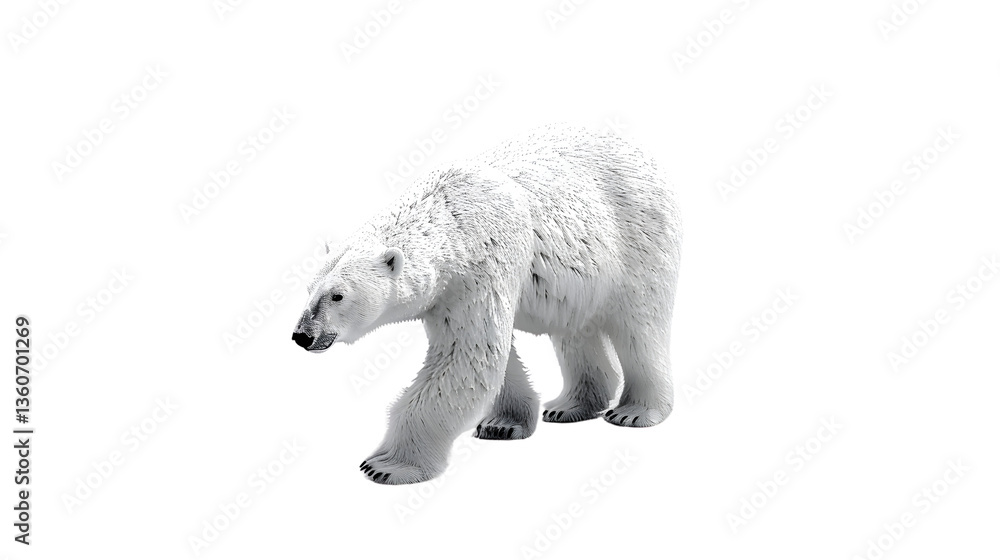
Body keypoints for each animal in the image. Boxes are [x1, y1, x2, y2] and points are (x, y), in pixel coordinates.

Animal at [292, 123, 682, 485]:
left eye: (338, 295)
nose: (302, 335)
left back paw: (634, 412)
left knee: (639, 326)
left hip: (636, 238)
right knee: (576, 329)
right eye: (308, 288)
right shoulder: (448, 294)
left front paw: (386, 465)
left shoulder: (483, 262)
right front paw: (503, 424)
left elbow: (466, 357)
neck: (449, 218)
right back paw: (569, 405)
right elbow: (487, 355)